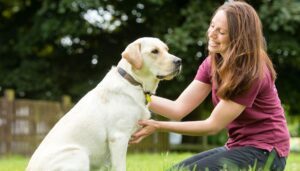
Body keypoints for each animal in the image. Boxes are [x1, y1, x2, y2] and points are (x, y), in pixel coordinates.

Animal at [25, 36, 182, 170]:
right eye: (154, 51)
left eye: (167, 49)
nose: (179, 61)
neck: (133, 81)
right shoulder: (118, 137)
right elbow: (120, 167)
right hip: (78, 154)